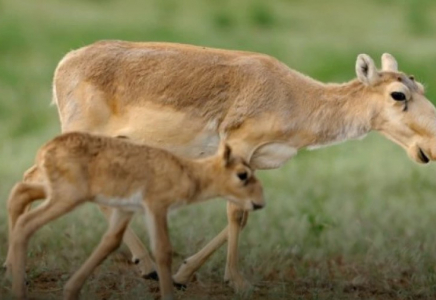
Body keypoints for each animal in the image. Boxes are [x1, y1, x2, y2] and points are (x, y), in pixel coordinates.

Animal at [7, 134, 266, 300]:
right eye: (242, 174)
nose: (260, 203)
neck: (188, 172)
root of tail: (46, 149)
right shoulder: (156, 207)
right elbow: (163, 251)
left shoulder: (126, 210)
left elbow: (110, 242)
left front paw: (71, 291)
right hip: (67, 198)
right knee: (26, 223)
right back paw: (18, 289)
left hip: (57, 193)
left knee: (20, 194)